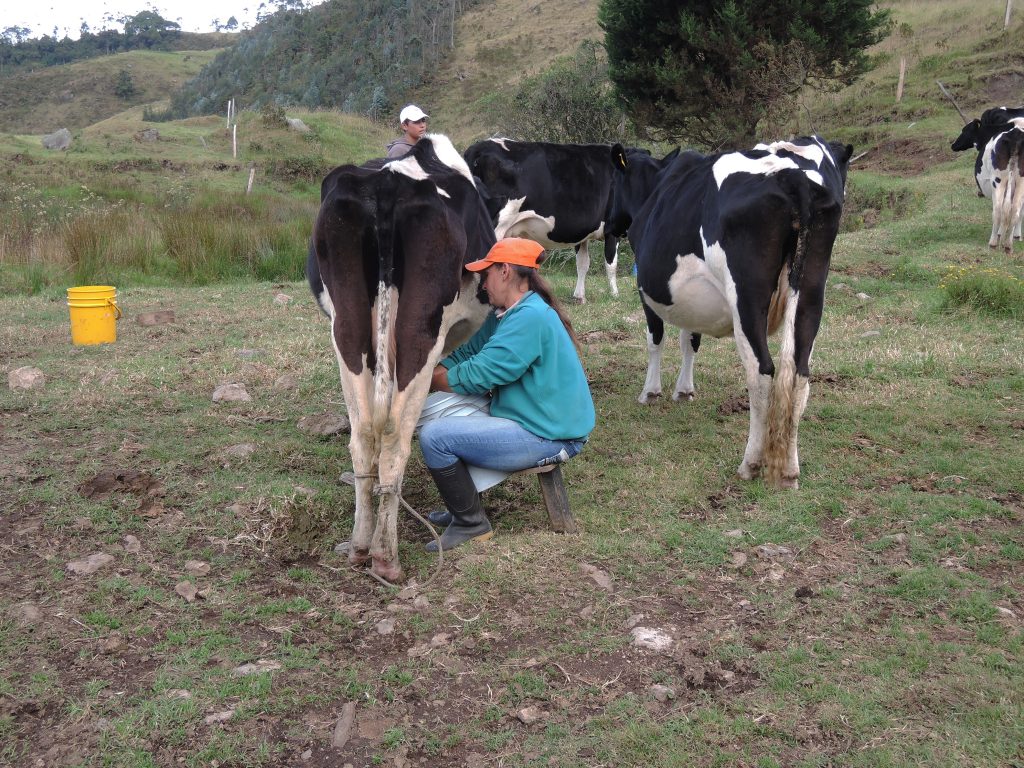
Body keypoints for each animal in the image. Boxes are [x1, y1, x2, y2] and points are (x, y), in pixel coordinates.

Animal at [309, 137, 493, 581]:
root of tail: (389, 185)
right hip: (421, 329)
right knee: (394, 435)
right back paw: (386, 556)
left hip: (347, 327)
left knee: (363, 436)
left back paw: (361, 547)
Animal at [462, 138, 622, 303]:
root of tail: (479, 147)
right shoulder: (613, 228)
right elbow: (611, 263)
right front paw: (614, 294)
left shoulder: (583, 233)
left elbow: (583, 263)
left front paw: (579, 296)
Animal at [606, 137, 856, 487]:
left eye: (614, 182)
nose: (609, 224)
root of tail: (794, 179)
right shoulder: (692, 299)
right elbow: (690, 340)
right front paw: (684, 390)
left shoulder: (647, 291)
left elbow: (656, 339)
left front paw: (651, 392)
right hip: (811, 291)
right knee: (800, 372)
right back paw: (790, 471)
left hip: (747, 298)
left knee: (762, 372)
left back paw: (750, 463)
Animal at [950, 103, 1024, 249]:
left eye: (964, 130)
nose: (953, 145)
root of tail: (1015, 134)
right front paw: (1016, 236)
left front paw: (1002, 234)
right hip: (1019, 181)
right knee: (1015, 209)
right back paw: (1008, 244)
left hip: (998, 181)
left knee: (998, 210)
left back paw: (994, 242)